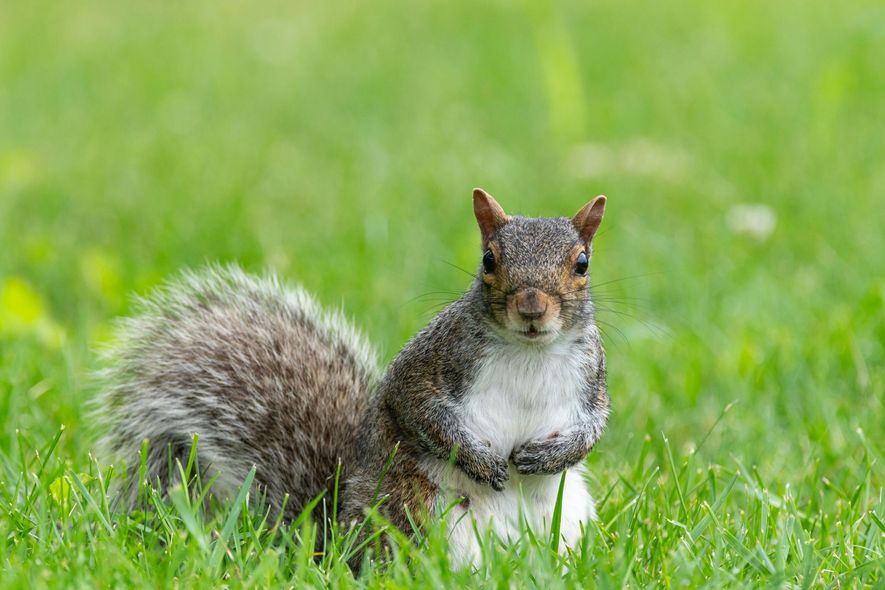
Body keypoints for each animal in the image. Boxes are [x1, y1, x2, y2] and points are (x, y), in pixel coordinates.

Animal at [96, 188, 610, 569]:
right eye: (488, 259)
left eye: (582, 264)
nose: (531, 305)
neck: (529, 349)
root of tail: (336, 540)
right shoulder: (431, 362)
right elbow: (418, 409)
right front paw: (479, 461)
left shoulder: (593, 376)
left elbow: (593, 426)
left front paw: (550, 456)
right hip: (418, 513)